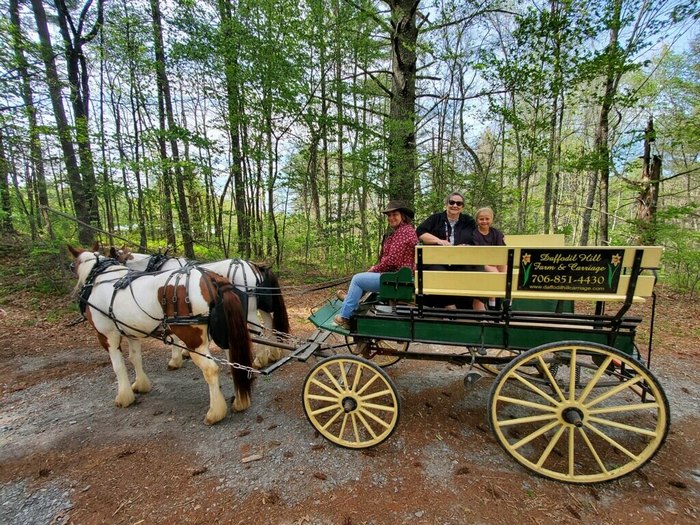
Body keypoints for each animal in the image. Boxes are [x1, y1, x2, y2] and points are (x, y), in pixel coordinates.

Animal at [67, 244, 254, 424]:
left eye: (72, 265)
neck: (101, 279)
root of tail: (213, 279)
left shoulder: (107, 335)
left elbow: (118, 366)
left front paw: (124, 397)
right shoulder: (132, 332)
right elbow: (135, 358)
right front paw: (140, 384)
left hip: (194, 339)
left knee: (211, 370)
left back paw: (215, 413)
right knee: (234, 362)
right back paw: (240, 401)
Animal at [110, 247, 286, 366]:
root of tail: (254, 266)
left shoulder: (173, 312)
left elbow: (175, 337)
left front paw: (176, 359)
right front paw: (185, 352)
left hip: (249, 309)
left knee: (259, 330)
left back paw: (260, 359)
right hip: (261, 306)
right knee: (268, 324)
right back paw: (273, 354)